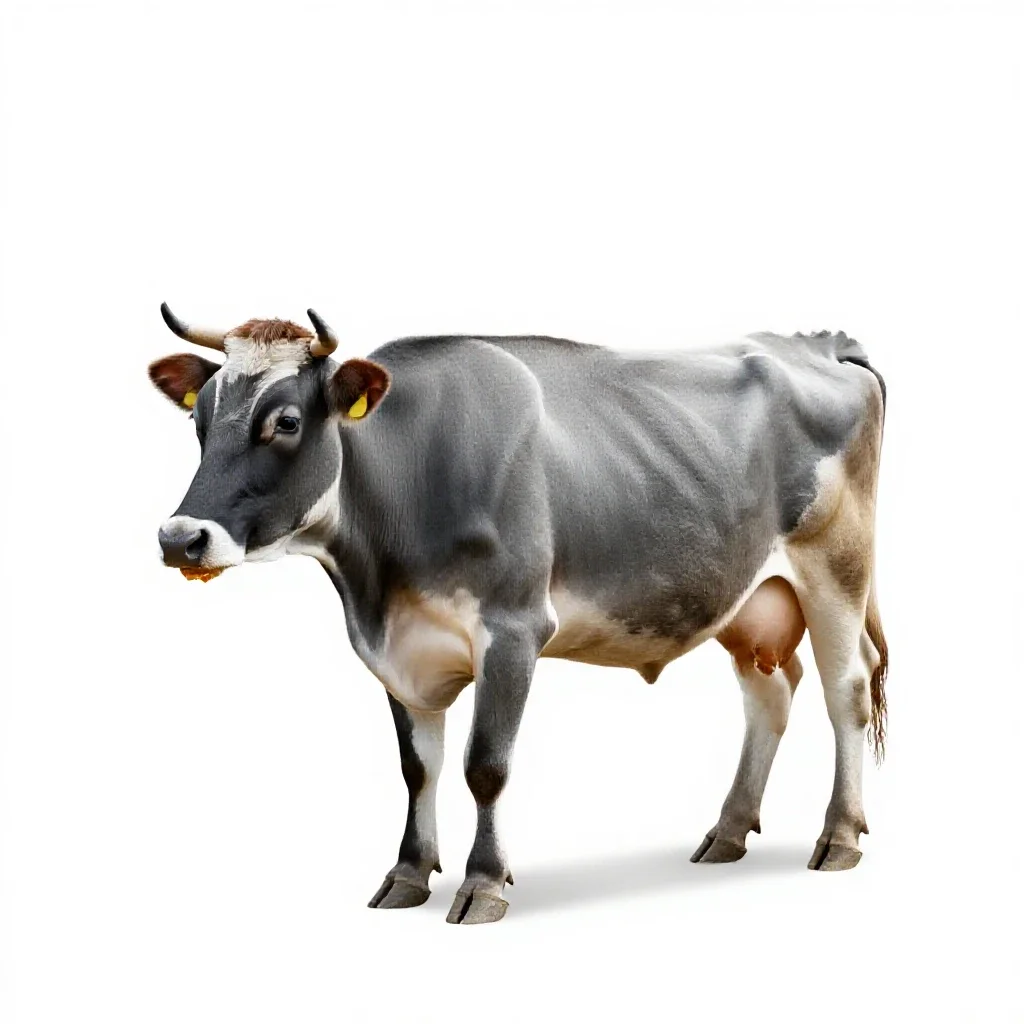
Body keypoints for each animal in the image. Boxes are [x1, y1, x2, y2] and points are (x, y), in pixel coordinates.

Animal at [149, 304, 888, 924]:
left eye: (286, 422)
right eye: (200, 421)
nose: (180, 538)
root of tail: (814, 342)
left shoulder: (513, 629)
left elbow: (485, 765)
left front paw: (484, 883)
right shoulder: (399, 650)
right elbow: (417, 768)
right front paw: (408, 874)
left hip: (836, 566)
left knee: (845, 689)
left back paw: (839, 836)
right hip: (741, 594)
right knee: (772, 692)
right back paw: (729, 830)